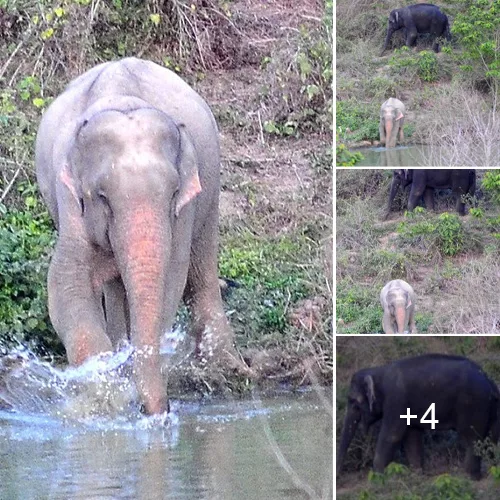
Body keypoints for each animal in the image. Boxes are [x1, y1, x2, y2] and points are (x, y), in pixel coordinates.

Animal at [34, 58, 246, 416]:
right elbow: (66, 283)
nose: (158, 411)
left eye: (173, 192)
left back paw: (226, 368)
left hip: (211, 188)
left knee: (201, 270)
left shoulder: (184, 206)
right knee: (114, 287)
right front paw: (104, 389)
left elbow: (171, 278)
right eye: (101, 197)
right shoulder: (69, 198)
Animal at [336, 354, 500, 478]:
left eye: (353, 402)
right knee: (493, 435)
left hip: (473, 404)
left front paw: (377, 478)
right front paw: (417, 475)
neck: (379, 371)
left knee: (472, 438)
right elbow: (412, 437)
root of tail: (489, 380)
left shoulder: (396, 400)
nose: (338, 477)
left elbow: (392, 435)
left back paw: (470, 477)